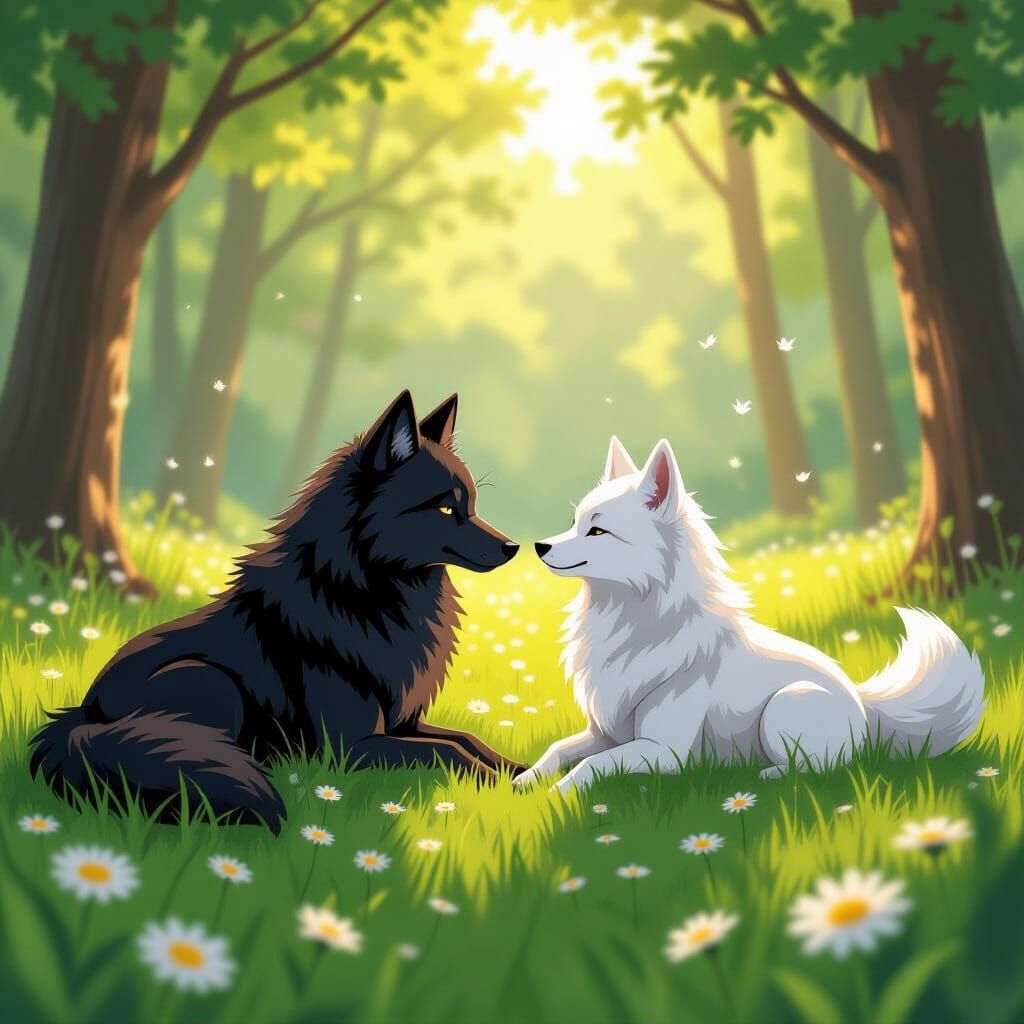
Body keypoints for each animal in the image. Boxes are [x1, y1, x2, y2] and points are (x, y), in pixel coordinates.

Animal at [31, 391, 523, 831]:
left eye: (471, 505)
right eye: (444, 508)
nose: (513, 547)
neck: (364, 594)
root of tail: (81, 714)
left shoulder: (407, 721)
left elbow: (467, 738)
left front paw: (520, 773)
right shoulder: (352, 746)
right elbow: (448, 751)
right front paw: (495, 782)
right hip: (211, 681)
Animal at [514, 436, 984, 794]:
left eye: (597, 530)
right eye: (573, 523)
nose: (538, 546)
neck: (630, 620)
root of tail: (866, 707)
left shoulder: (661, 750)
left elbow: (592, 766)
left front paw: (557, 794)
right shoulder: (605, 733)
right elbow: (558, 750)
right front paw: (526, 781)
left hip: (786, 706)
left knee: (825, 767)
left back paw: (769, 774)